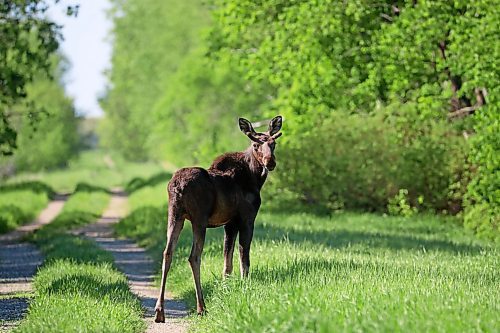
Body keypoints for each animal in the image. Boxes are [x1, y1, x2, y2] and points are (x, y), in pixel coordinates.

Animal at [154, 115, 284, 320]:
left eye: (274, 143)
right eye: (256, 145)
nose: (270, 162)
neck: (255, 179)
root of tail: (177, 186)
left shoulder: (229, 223)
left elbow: (227, 260)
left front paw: (226, 286)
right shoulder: (246, 218)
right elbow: (244, 256)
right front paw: (244, 284)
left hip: (174, 215)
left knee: (168, 253)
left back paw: (160, 310)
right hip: (198, 219)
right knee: (194, 256)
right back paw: (201, 307)